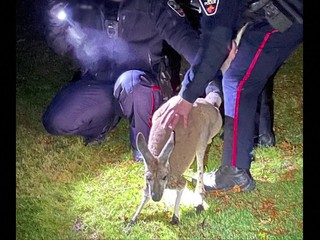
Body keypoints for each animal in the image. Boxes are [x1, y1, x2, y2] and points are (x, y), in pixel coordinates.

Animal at [129, 92, 221, 225]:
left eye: (164, 177)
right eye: (148, 177)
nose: (156, 198)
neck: (158, 156)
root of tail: (209, 103)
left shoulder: (175, 180)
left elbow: (182, 186)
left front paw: (175, 217)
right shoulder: (148, 181)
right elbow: (145, 194)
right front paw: (133, 218)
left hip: (203, 136)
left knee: (200, 162)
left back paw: (199, 198)